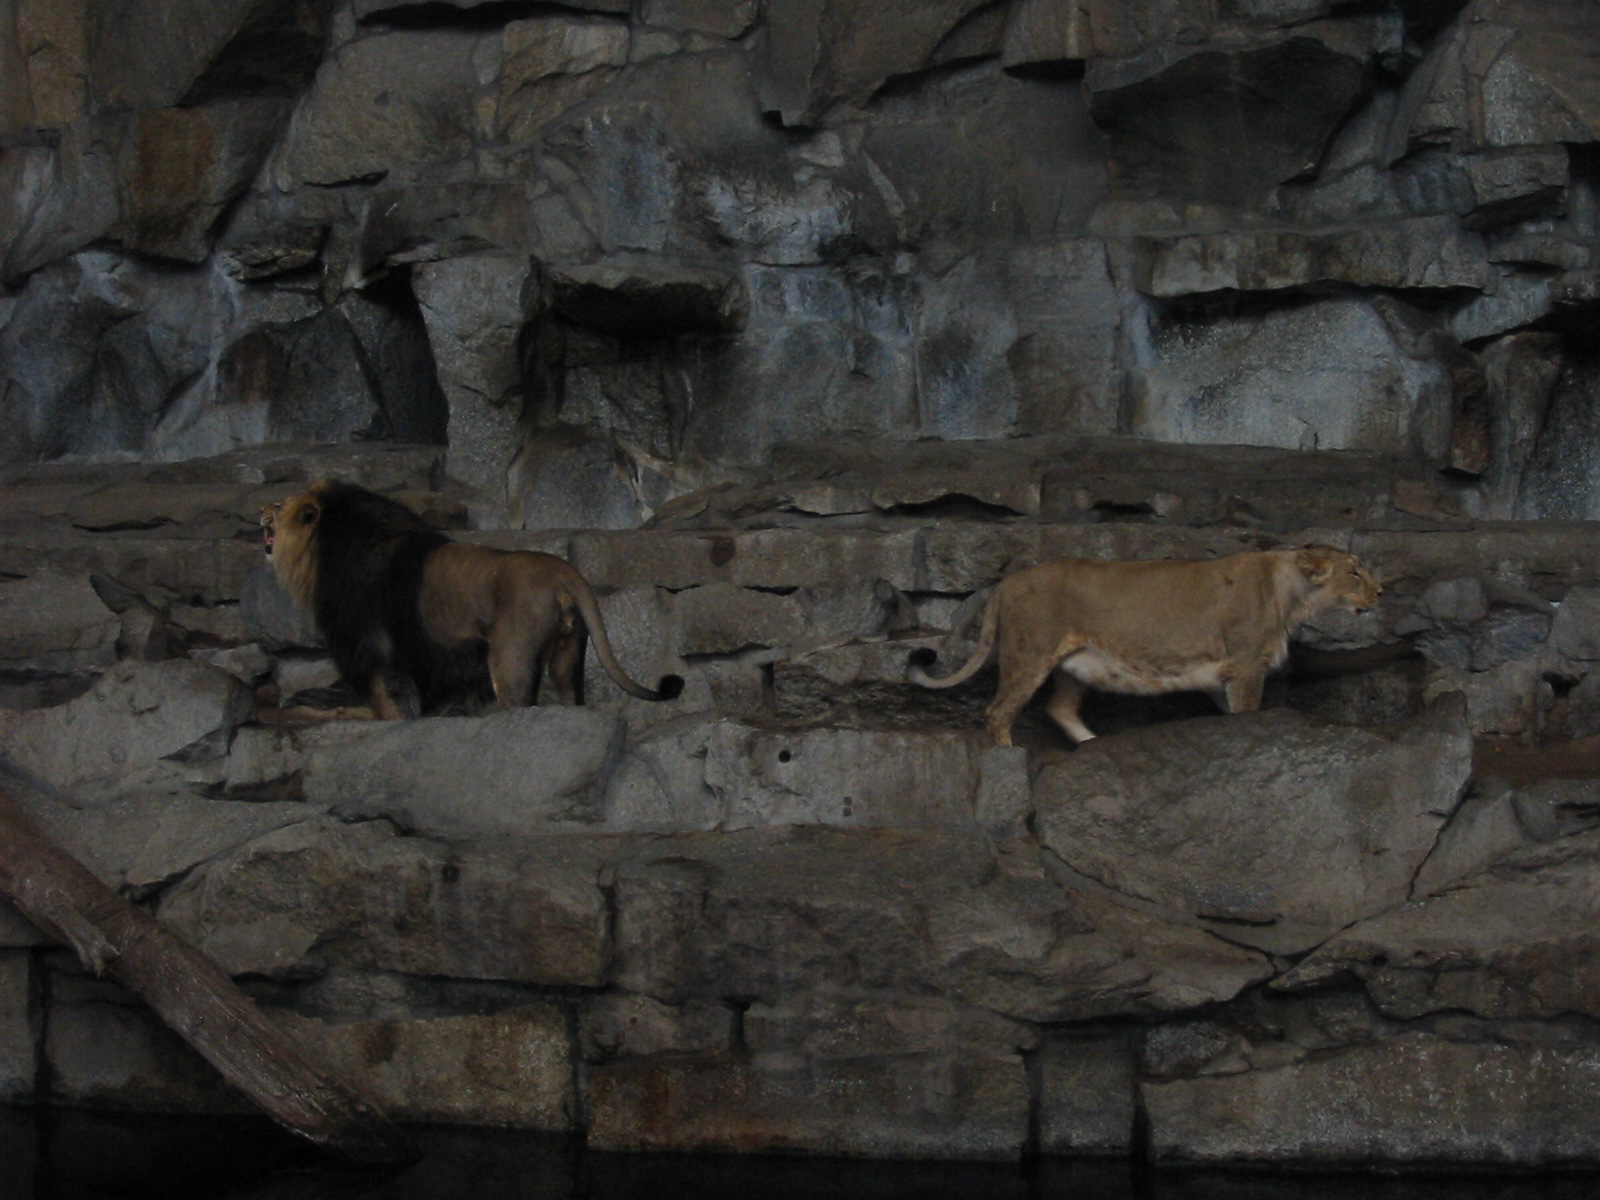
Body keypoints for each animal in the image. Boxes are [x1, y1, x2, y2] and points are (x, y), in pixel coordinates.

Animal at [261, 479, 683, 719]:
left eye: (280, 506)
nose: (262, 511)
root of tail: (562, 570)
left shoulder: (369, 650)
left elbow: (386, 704)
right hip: (568, 653)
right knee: (570, 702)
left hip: (510, 658)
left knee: (519, 704)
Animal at [907, 546, 1381, 746]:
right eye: (1354, 572)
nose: (1381, 592)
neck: (1292, 592)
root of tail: (1005, 583)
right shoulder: (1247, 665)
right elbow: (1247, 714)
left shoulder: (1223, 676)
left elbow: (1230, 713)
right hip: (1030, 654)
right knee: (998, 712)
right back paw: (1009, 755)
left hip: (1075, 663)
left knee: (1058, 708)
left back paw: (1091, 743)